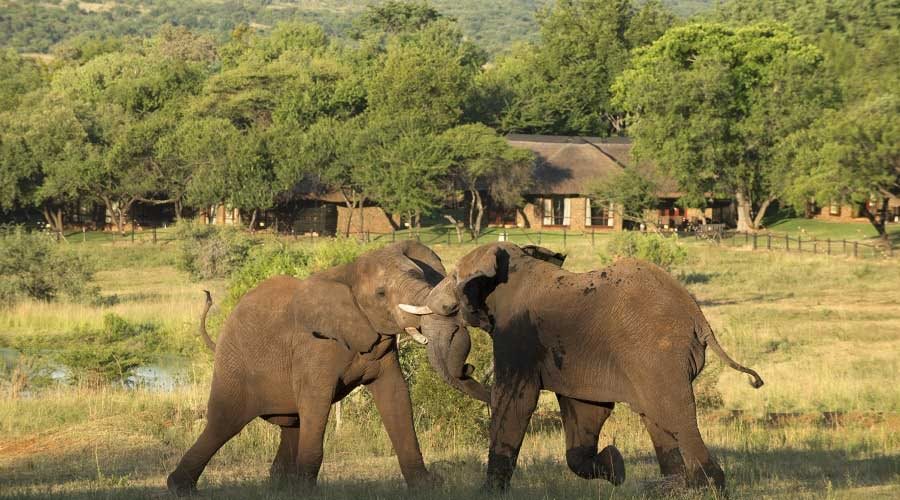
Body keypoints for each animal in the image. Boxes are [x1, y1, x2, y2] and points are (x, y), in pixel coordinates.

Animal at [162, 240, 486, 494]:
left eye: (420, 275)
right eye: (381, 294)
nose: (469, 368)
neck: (347, 272)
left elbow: (395, 395)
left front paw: (426, 487)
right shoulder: (314, 346)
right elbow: (317, 400)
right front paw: (307, 492)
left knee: (291, 422)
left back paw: (280, 488)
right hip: (234, 364)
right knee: (224, 422)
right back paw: (180, 488)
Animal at [404, 242, 764, 492]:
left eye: (454, 279)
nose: (468, 368)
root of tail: (697, 316)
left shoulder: (517, 334)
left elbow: (515, 401)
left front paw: (488, 493)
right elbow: (585, 410)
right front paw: (616, 467)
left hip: (658, 354)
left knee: (675, 414)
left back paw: (707, 488)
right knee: (657, 417)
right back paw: (668, 489)